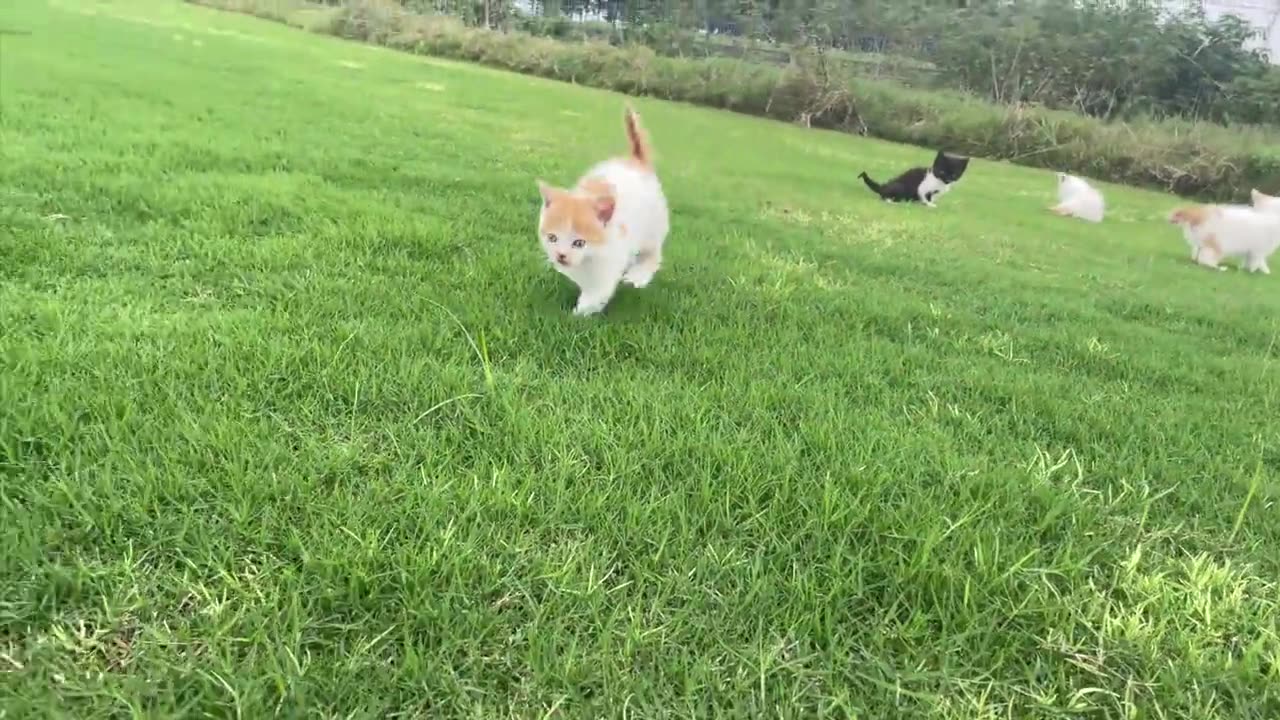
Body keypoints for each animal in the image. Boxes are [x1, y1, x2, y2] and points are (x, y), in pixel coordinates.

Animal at [535, 106, 670, 316]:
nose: (561, 255)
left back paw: (637, 277)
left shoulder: (610, 261)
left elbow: (597, 292)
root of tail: (636, 162)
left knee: (652, 254)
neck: (588, 259)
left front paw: (576, 315)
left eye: (579, 243)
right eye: (552, 238)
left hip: (652, 226)